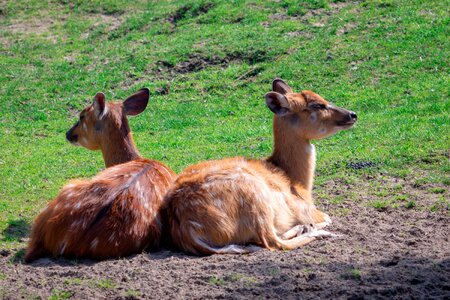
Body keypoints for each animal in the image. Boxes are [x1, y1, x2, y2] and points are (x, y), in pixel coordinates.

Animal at [163, 78, 356, 254]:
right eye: (317, 105)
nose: (352, 114)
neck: (297, 182)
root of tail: (189, 230)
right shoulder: (305, 209)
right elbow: (327, 217)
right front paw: (314, 226)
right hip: (255, 196)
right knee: (272, 242)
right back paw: (315, 231)